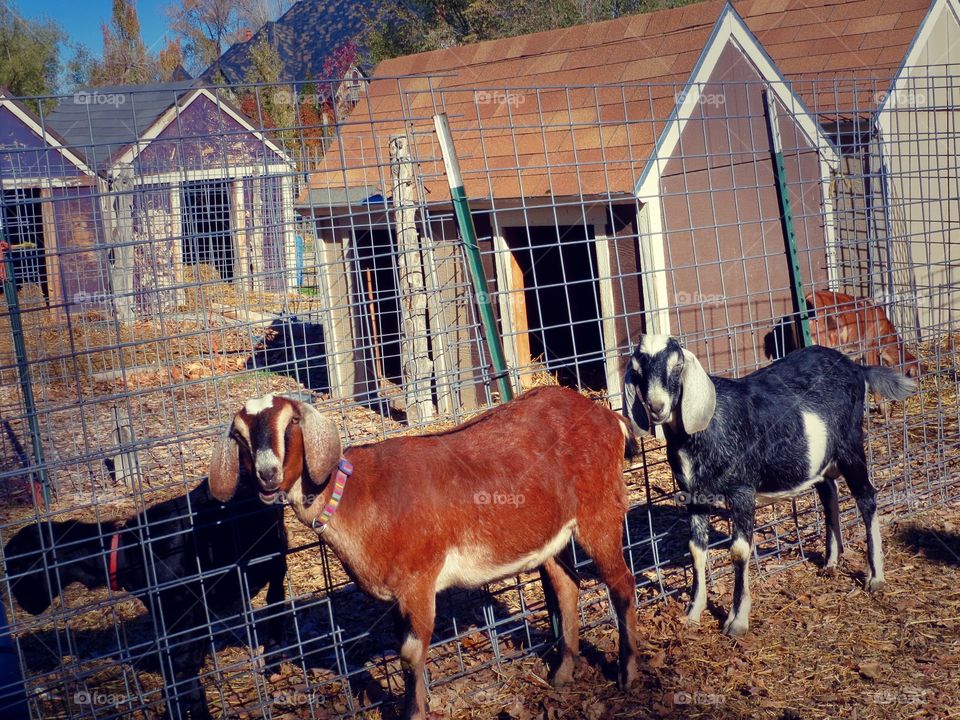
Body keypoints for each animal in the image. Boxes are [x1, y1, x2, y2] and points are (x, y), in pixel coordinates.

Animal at [3, 476, 287, 720]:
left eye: (17, 566)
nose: (26, 606)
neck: (128, 553)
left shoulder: (184, 615)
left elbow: (181, 670)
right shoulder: (174, 618)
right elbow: (182, 667)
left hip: (276, 557)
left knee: (276, 602)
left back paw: (273, 660)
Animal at [207, 387, 641, 720]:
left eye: (291, 423)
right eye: (241, 437)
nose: (267, 475)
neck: (356, 494)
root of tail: (606, 416)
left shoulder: (419, 580)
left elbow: (410, 653)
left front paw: (414, 712)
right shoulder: (397, 597)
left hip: (599, 512)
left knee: (621, 583)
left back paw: (629, 672)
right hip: (551, 536)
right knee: (567, 586)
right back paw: (563, 672)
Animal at [622, 335, 915, 636]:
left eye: (677, 365)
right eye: (639, 368)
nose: (656, 406)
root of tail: (857, 368)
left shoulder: (742, 490)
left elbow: (739, 550)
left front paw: (737, 620)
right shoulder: (695, 496)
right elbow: (696, 549)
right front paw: (693, 613)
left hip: (850, 446)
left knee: (867, 498)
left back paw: (876, 576)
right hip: (821, 460)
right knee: (829, 494)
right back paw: (831, 562)